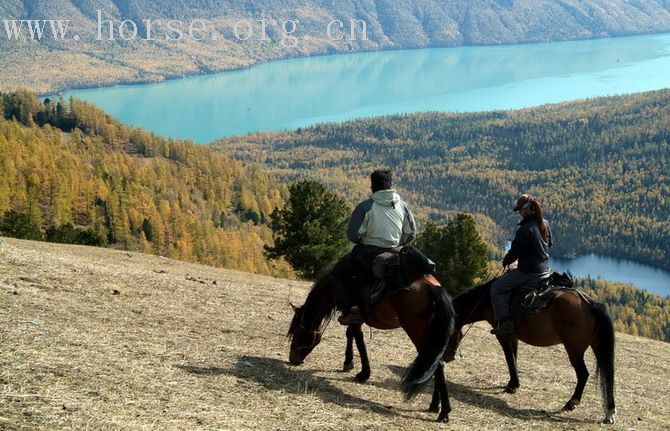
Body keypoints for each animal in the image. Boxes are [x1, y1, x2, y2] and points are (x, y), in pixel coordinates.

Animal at [288, 274, 456, 422]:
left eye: (296, 331)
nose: (292, 358)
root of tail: (433, 288)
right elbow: (350, 334)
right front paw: (349, 363)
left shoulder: (353, 316)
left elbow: (357, 338)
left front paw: (363, 372)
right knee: (436, 363)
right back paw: (435, 404)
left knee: (436, 365)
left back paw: (444, 412)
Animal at [446, 278, 620, 424]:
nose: (447, 358)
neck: (487, 299)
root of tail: (590, 303)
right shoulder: (513, 336)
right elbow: (514, 358)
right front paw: (513, 383)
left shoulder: (502, 334)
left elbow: (509, 358)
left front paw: (512, 386)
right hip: (597, 347)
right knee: (608, 375)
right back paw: (609, 412)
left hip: (574, 350)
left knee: (583, 374)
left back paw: (571, 403)